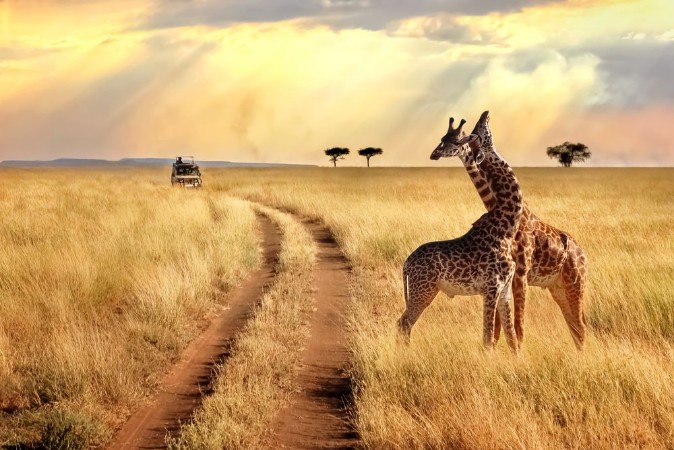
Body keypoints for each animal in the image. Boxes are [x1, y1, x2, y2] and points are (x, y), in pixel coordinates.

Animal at [398, 112, 523, 353]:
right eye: (479, 132)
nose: (485, 114)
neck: (507, 227)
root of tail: (407, 263)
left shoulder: (505, 290)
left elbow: (512, 339)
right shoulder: (491, 288)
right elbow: (487, 338)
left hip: (424, 290)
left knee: (403, 322)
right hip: (423, 289)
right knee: (404, 323)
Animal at [455, 113, 588, 350]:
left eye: (479, 130)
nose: (485, 114)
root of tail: (583, 253)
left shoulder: (521, 274)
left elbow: (517, 326)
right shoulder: (506, 276)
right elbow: (500, 327)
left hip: (575, 283)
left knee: (580, 326)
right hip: (558, 287)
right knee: (574, 325)